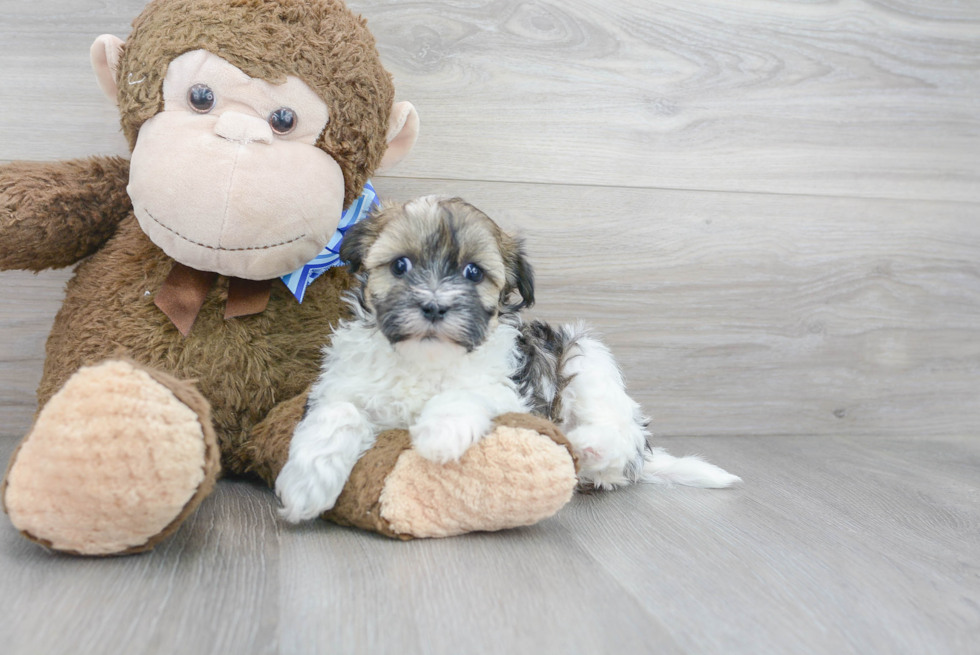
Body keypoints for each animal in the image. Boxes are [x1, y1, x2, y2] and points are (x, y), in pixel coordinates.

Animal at [272, 195, 740, 524]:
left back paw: (588, 446)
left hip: (583, 354)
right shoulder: (341, 385)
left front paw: (440, 432)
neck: (424, 357)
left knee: (618, 443)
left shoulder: (510, 391)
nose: (434, 307)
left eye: (473, 273)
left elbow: (466, 394)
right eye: (400, 265)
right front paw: (306, 486)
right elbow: (338, 414)